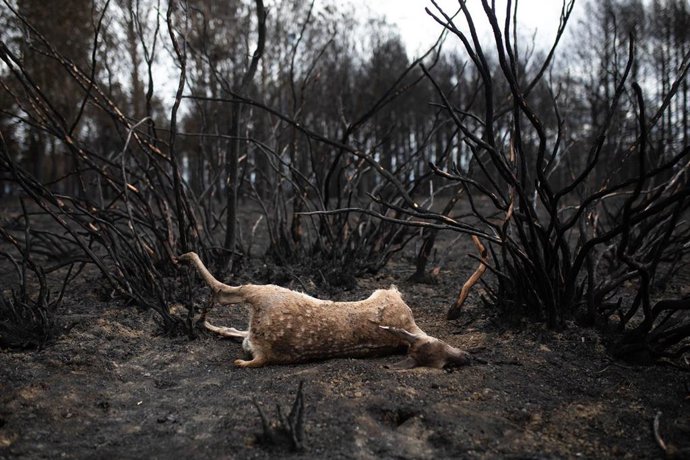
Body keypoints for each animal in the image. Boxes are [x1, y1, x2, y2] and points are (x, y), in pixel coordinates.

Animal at [178, 252, 471, 369]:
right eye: (444, 359)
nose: (467, 357)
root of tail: (264, 354)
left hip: (268, 292)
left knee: (224, 292)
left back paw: (185, 260)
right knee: (233, 324)